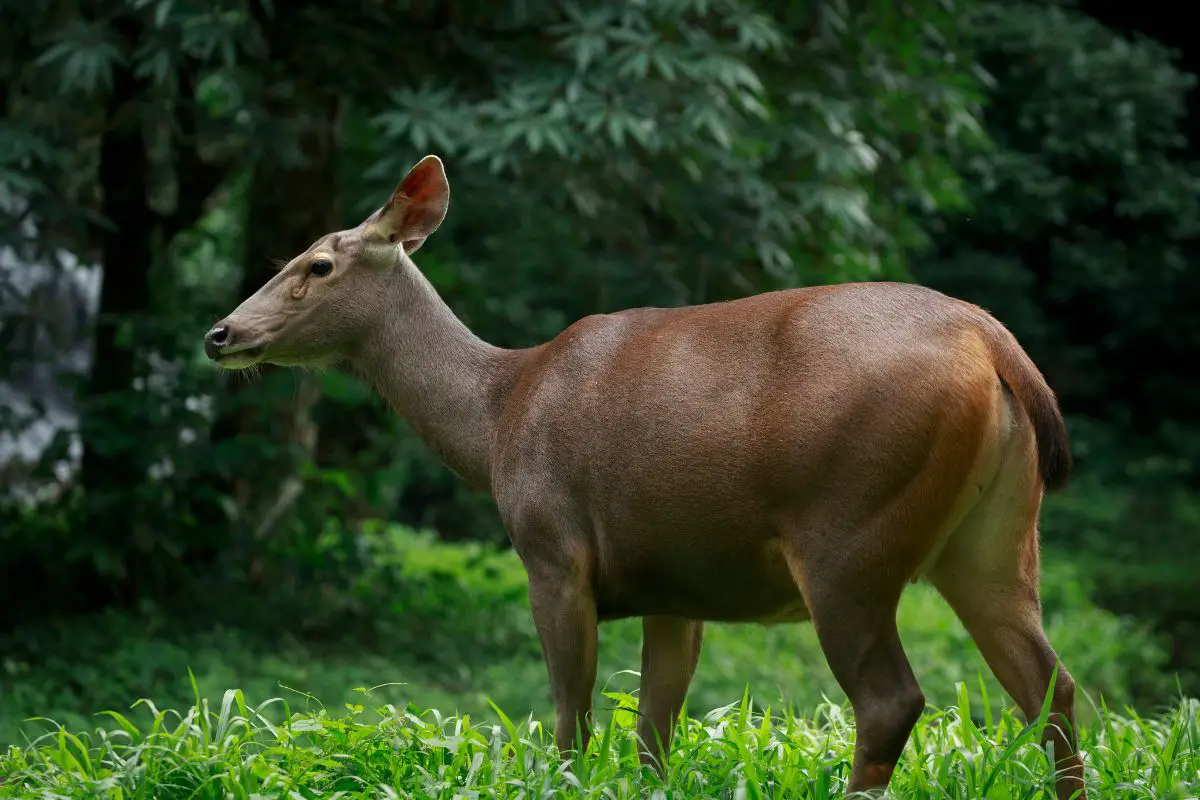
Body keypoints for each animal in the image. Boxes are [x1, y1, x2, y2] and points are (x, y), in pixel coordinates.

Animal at [204, 153, 1089, 796]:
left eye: (318, 264)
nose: (221, 333)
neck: (496, 419)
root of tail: (996, 346)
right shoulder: (676, 581)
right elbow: (652, 732)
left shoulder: (553, 548)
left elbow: (572, 718)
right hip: (995, 541)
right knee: (1052, 686)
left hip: (851, 533)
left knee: (891, 700)